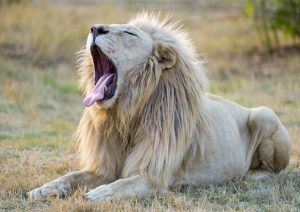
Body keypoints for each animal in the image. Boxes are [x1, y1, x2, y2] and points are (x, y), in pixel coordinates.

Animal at [28, 13, 290, 202]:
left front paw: (100, 193)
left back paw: (249, 175)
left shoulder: (155, 175)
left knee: (273, 171)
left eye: (128, 33)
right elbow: (72, 176)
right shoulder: (103, 168)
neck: (127, 113)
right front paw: (43, 189)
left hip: (265, 114)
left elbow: (125, 184)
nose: (95, 29)